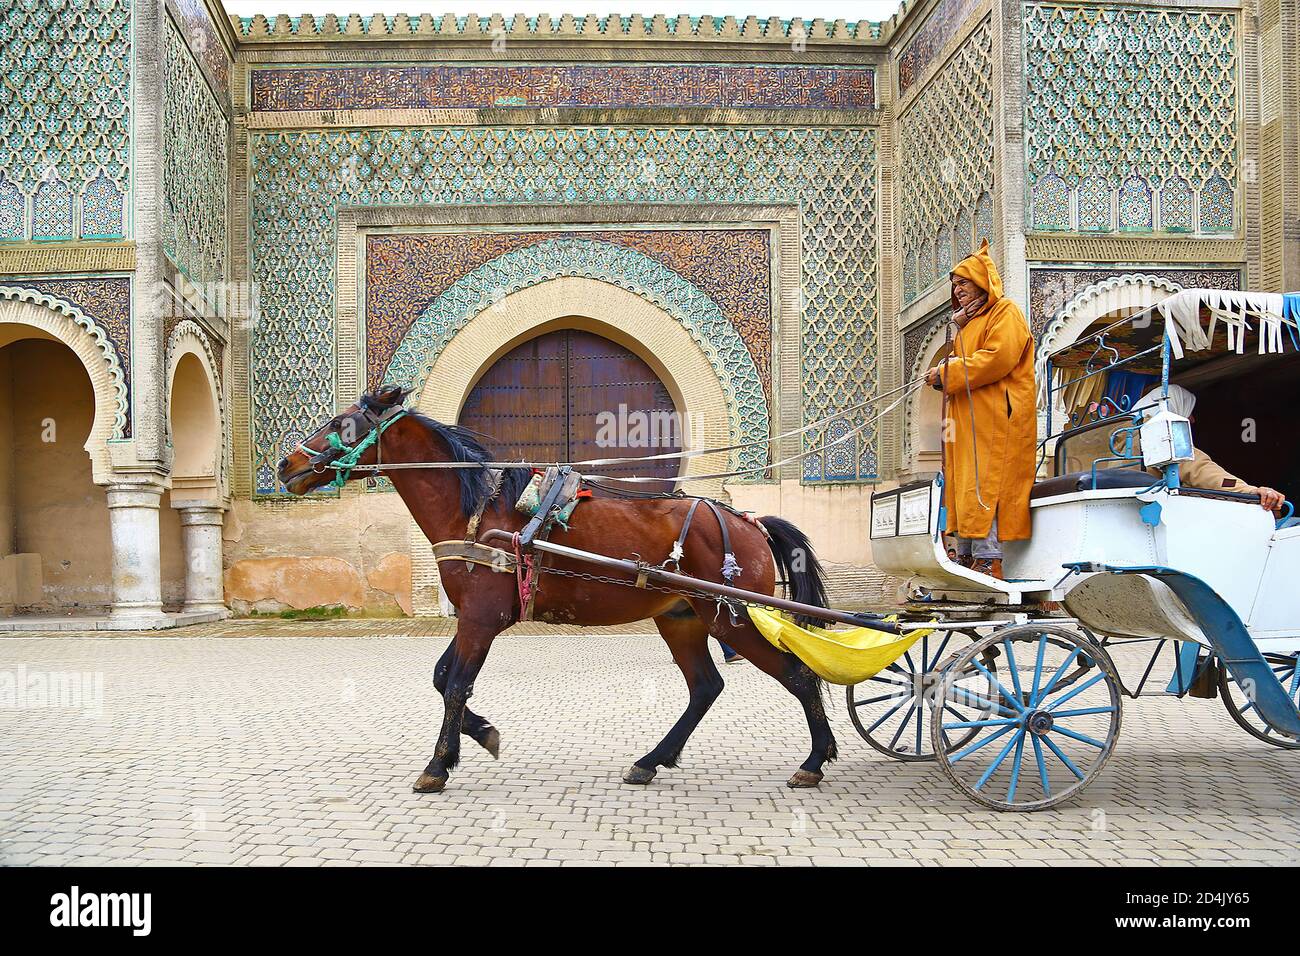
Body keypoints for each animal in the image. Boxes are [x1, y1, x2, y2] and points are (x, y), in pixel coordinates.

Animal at [279, 385, 837, 796]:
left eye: (341, 424)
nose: (286, 466)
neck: (477, 511)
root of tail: (746, 521)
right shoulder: (472, 617)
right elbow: (441, 678)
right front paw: (479, 736)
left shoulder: (480, 618)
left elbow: (455, 683)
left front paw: (437, 767)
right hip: (682, 618)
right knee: (705, 687)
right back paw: (651, 760)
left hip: (731, 617)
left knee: (796, 674)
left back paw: (814, 759)